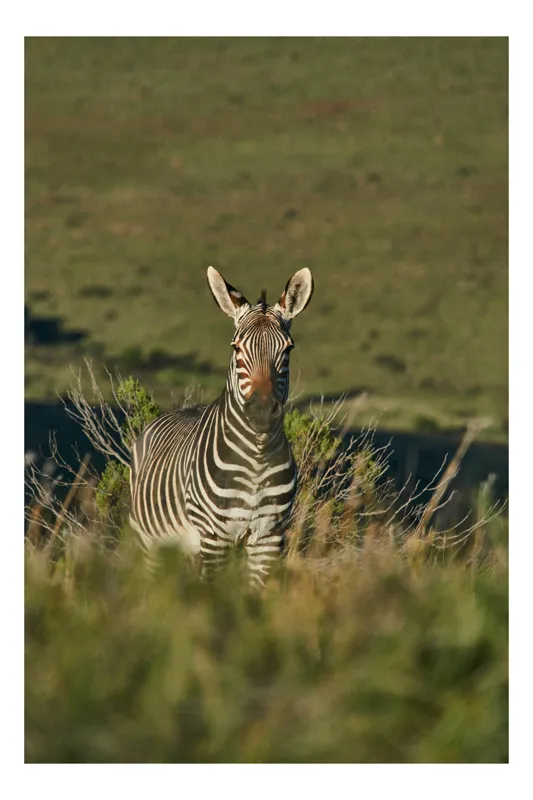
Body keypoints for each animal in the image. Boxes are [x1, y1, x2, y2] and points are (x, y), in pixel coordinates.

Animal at [129, 266, 314, 588]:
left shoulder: (269, 537)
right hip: (151, 541)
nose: (262, 411)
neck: (257, 458)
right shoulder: (216, 537)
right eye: (236, 348)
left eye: (288, 349)